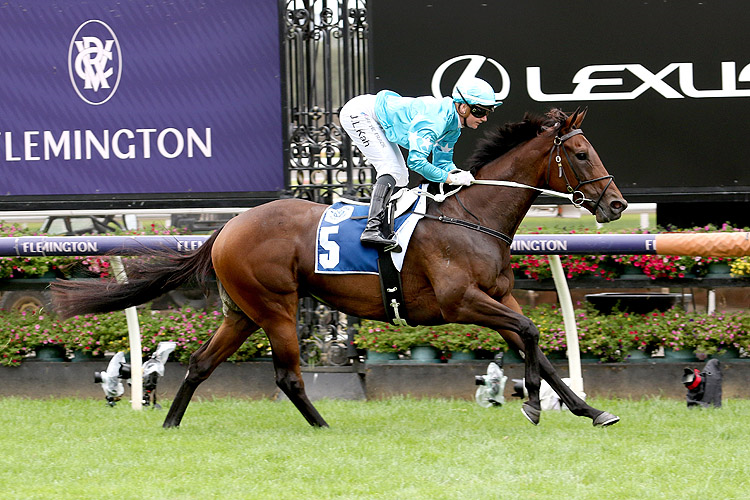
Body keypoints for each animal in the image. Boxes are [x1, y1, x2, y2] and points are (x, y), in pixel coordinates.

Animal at [51, 107, 628, 428]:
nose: (617, 205)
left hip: (242, 312)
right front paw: (533, 405)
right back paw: (324, 426)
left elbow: (540, 349)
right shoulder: (459, 302)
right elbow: (531, 332)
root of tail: (229, 226)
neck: (471, 216)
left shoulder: (498, 298)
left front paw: (591, 410)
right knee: (288, 377)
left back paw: (170, 425)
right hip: (276, 306)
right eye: (580, 153)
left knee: (199, 364)